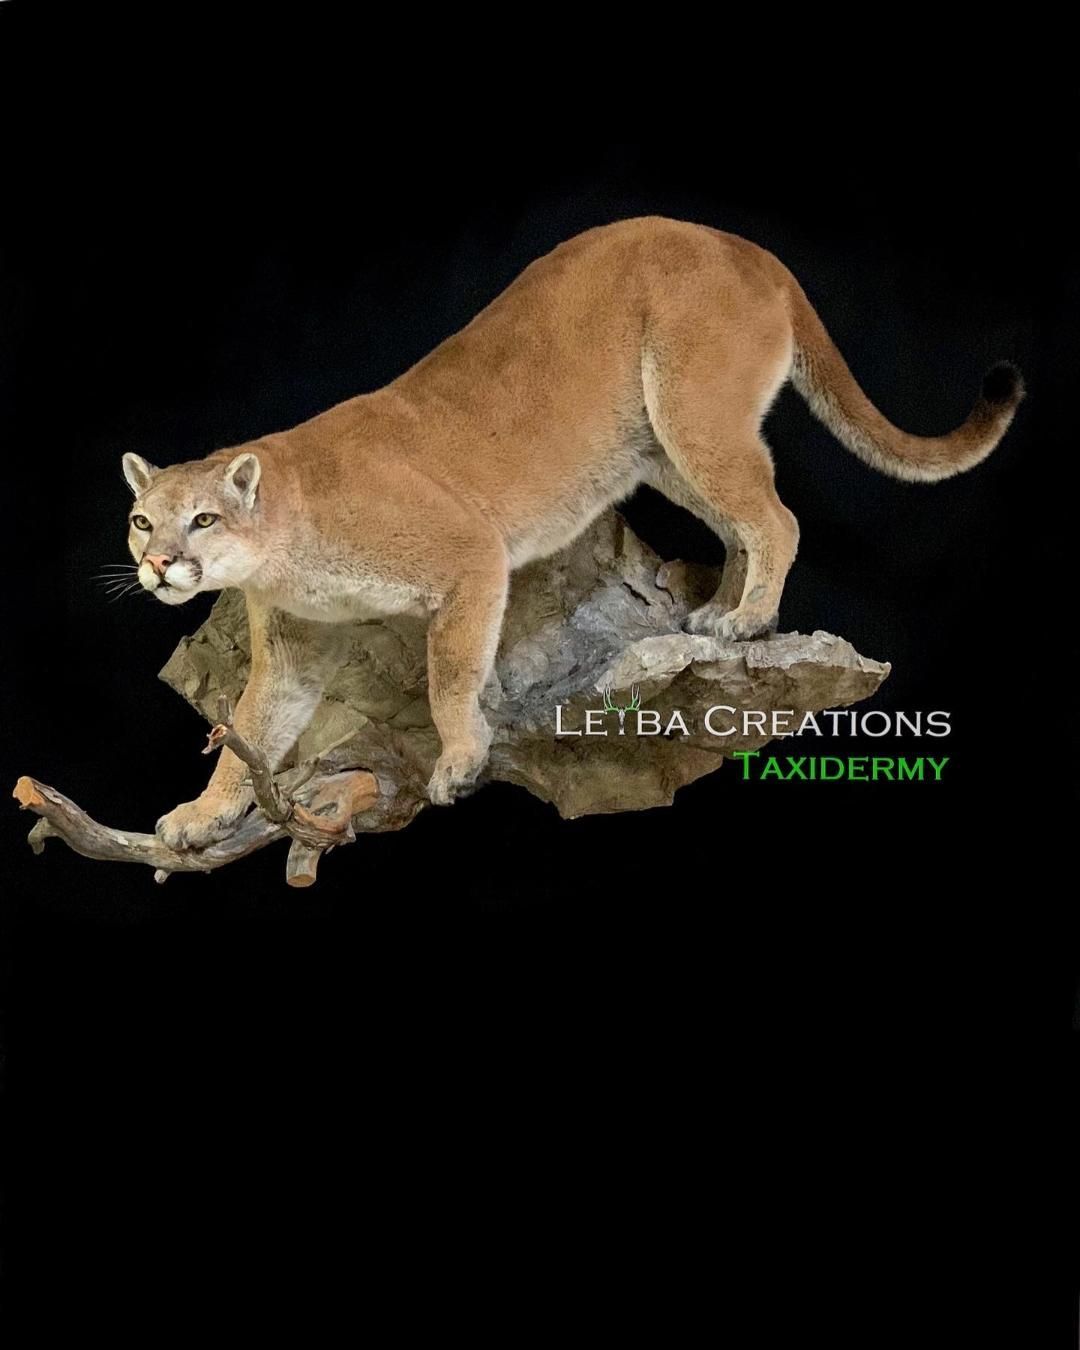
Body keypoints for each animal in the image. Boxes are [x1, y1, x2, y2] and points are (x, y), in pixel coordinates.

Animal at [118, 215, 1024, 849]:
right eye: (141, 520)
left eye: (203, 518)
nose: (159, 564)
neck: (286, 535)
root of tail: (742, 244)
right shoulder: (297, 647)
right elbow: (250, 731)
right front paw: (200, 815)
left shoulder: (470, 557)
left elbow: (449, 675)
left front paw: (459, 760)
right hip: (657, 450)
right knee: (738, 523)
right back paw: (713, 615)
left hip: (695, 414)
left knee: (777, 515)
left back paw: (748, 619)